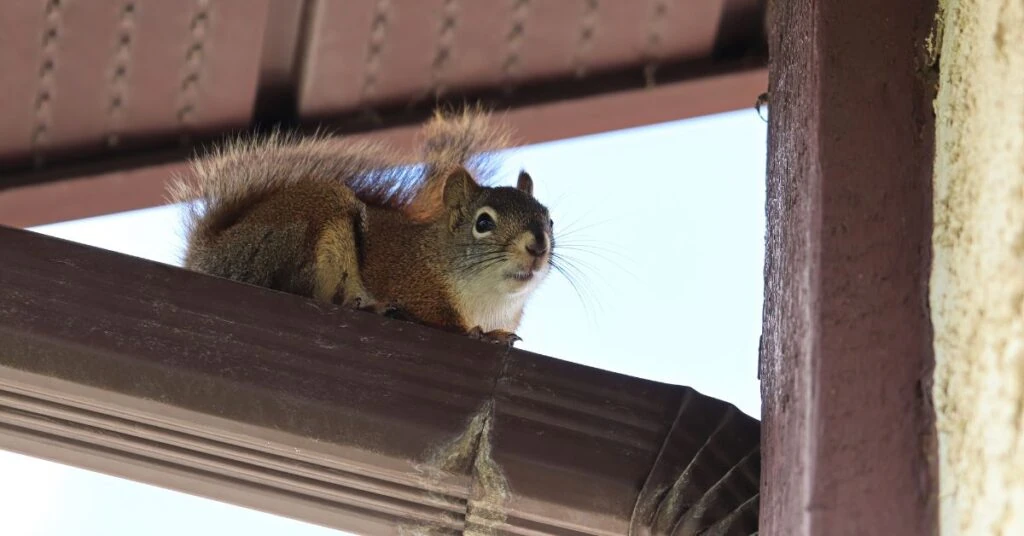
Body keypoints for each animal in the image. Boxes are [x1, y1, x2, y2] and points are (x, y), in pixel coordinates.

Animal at [169, 107, 552, 346]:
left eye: (549, 219)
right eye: (483, 222)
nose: (538, 245)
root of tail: (211, 255)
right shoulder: (415, 285)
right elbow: (441, 320)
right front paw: (479, 334)